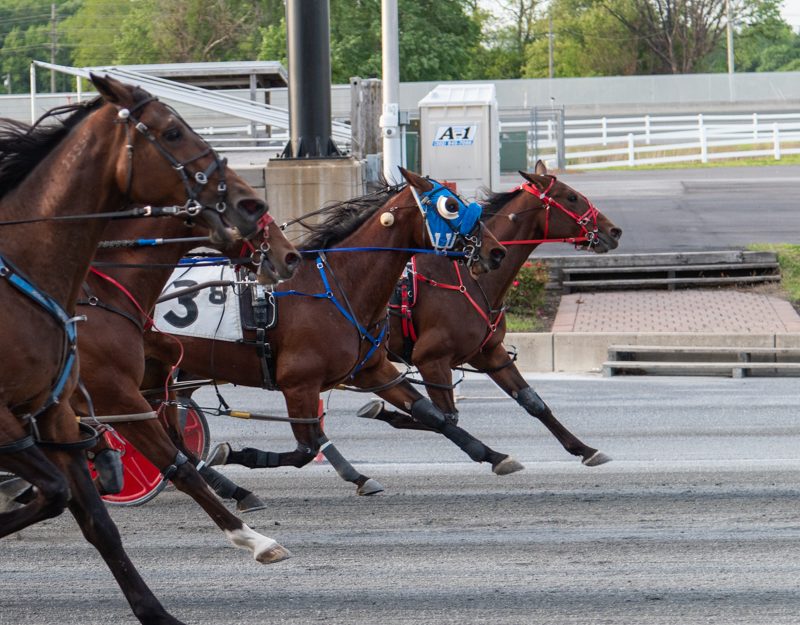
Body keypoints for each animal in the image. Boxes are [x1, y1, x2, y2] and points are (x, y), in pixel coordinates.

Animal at [0, 74, 270, 625]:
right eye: (172, 132)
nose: (254, 208)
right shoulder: (105, 394)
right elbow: (174, 463)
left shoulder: (61, 408)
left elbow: (100, 513)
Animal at [144, 168, 525, 496]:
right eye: (451, 205)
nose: (495, 251)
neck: (336, 285)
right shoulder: (298, 382)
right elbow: (304, 449)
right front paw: (238, 454)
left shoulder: (373, 369)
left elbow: (434, 415)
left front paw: (494, 456)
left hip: (174, 373)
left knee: (169, 432)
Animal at [356, 162, 622, 468]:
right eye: (571, 197)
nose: (614, 231)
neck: (469, 279)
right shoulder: (431, 359)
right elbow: (445, 417)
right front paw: (382, 411)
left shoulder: (489, 351)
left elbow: (533, 402)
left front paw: (584, 448)